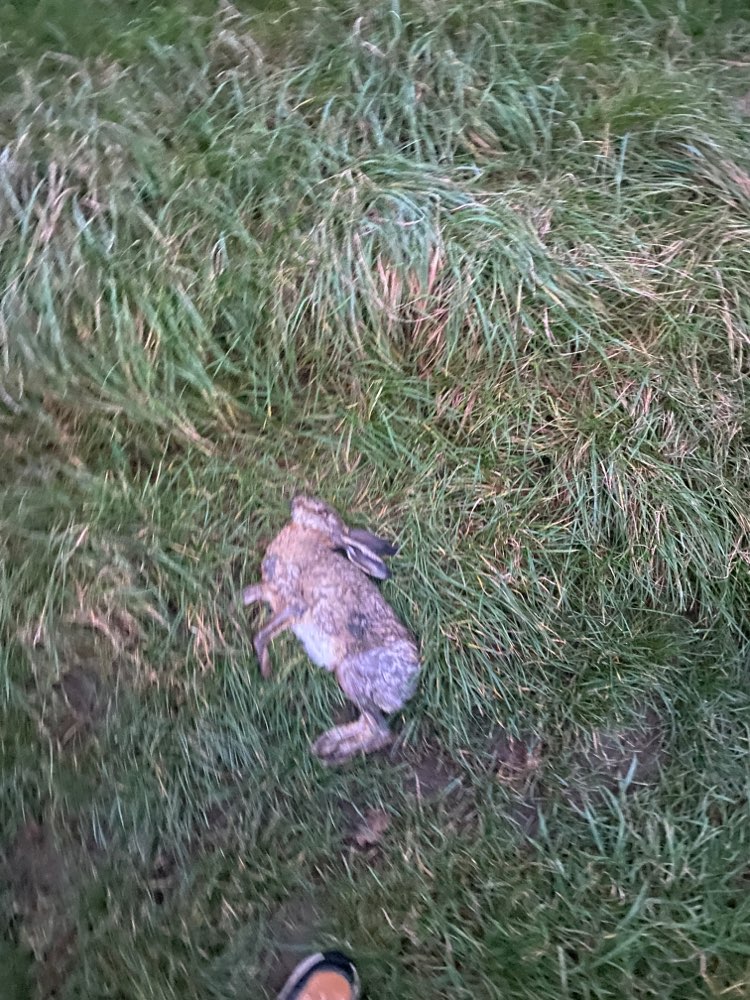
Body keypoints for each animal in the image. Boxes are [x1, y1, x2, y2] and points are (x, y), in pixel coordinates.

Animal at [242, 496, 420, 763]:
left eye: (322, 512)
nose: (295, 500)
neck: (311, 537)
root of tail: (412, 676)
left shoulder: (294, 604)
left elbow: (261, 634)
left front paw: (266, 671)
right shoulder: (272, 593)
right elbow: (251, 595)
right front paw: (234, 603)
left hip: (350, 672)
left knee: (381, 731)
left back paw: (333, 753)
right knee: (369, 723)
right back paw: (327, 745)